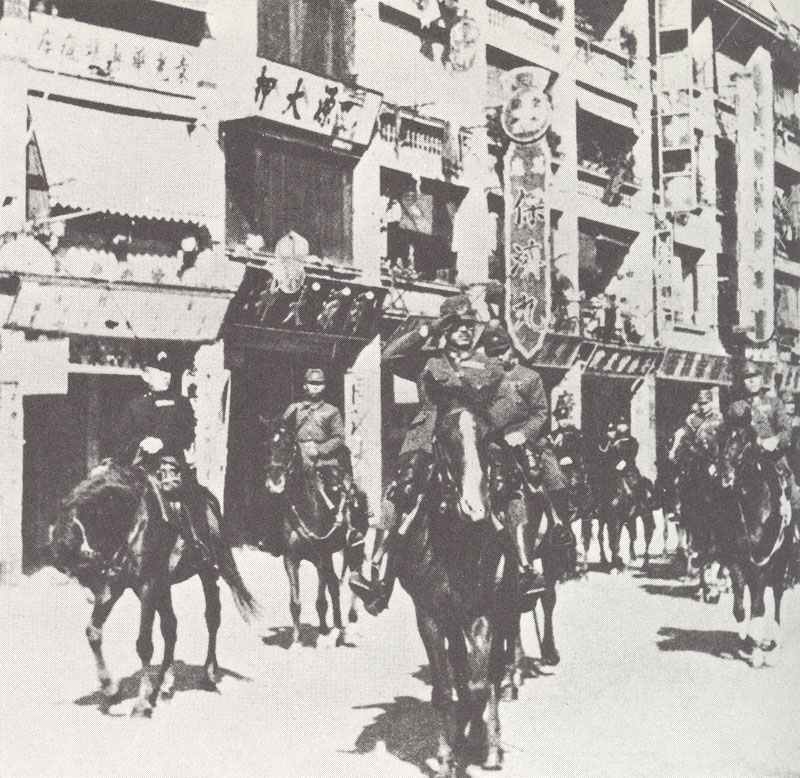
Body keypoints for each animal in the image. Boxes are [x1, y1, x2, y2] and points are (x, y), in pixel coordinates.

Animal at [48, 460, 260, 716]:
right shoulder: (115, 585)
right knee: (170, 626)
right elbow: (93, 632)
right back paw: (165, 683)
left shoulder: (147, 586)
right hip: (163, 586)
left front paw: (141, 704)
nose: (56, 553)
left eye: (90, 513)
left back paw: (208, 674)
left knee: (212, 616)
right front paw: (110, 688)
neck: (132, 522)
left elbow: (144, 644)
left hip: (206, 571)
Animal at [260, 416, 366, 644]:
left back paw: (348, 621)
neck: (305, 506)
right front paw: (297, 640)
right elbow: (296, 602)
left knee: (352, 577)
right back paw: (333, 627)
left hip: (353, 547)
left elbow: (324, 598)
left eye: (289, 445)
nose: (275, 481)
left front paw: (327, 633)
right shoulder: (291, 559)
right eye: (267, 446)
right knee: (333, 585)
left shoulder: (322, 558)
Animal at [394, 404, 512, 772]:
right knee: (458, 666)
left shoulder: (482, 612)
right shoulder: (430, 615)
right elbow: (445, 689)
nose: (476, 510)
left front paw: (480, 740)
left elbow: (479, 684)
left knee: (490, 674)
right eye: (445, 439)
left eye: (486, 438)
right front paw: (446, 756)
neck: (457, 542)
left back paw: (487, 742)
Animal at [712, 418, 792, 668]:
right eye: (719, 438)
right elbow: (740, 607)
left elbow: (759, 605)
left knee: (777, 596)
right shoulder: (736, 562)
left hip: (780, 561)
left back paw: (773, 643)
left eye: (742, 440)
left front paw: (757, 652)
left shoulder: (764, 563)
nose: (724, 476)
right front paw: (745, 642)